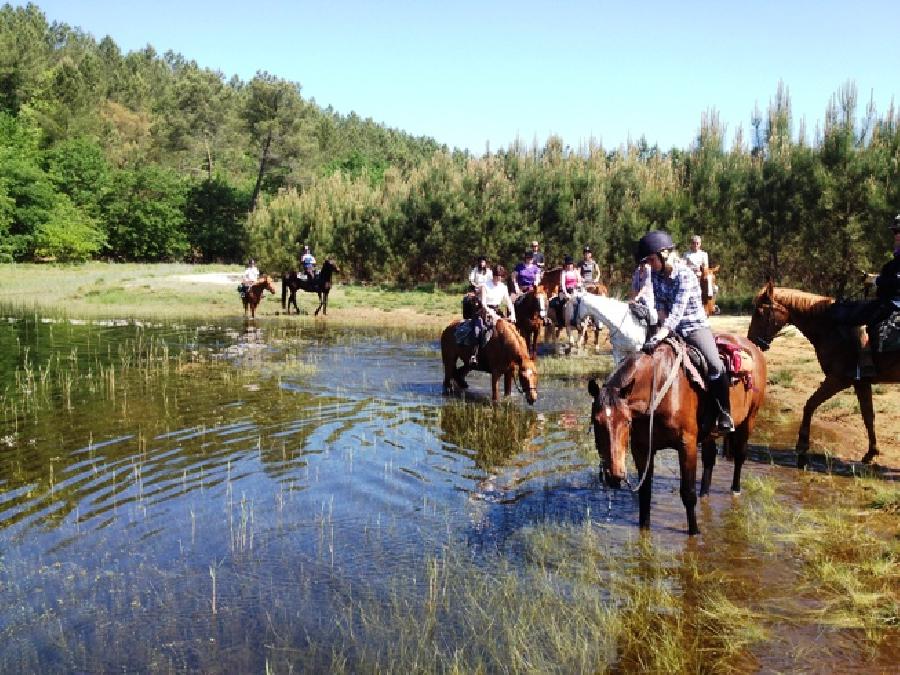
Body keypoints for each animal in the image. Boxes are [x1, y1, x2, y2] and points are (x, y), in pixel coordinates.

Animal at [588, 336, 768, 536]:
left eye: (627, 421)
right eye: (596, 421)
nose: (614, 475)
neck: (659, 389)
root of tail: (753, 347)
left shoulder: (686, 445)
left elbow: (688, 493)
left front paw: (695, 533)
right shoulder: (641, 448)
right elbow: (645, 494)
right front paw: (644, 533)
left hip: (749, 419)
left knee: (740, 455)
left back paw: (735, 490)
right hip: (710, 434)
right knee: (709, 459)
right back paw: (705, 494)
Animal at [744, 282, 900, 468]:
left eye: (760, 312)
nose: (753, 342)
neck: (830, 327)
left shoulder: (837, 380)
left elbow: (810, 405)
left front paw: (802, 448)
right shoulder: (861, 382)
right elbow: (868, 415)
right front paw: (871, 453)